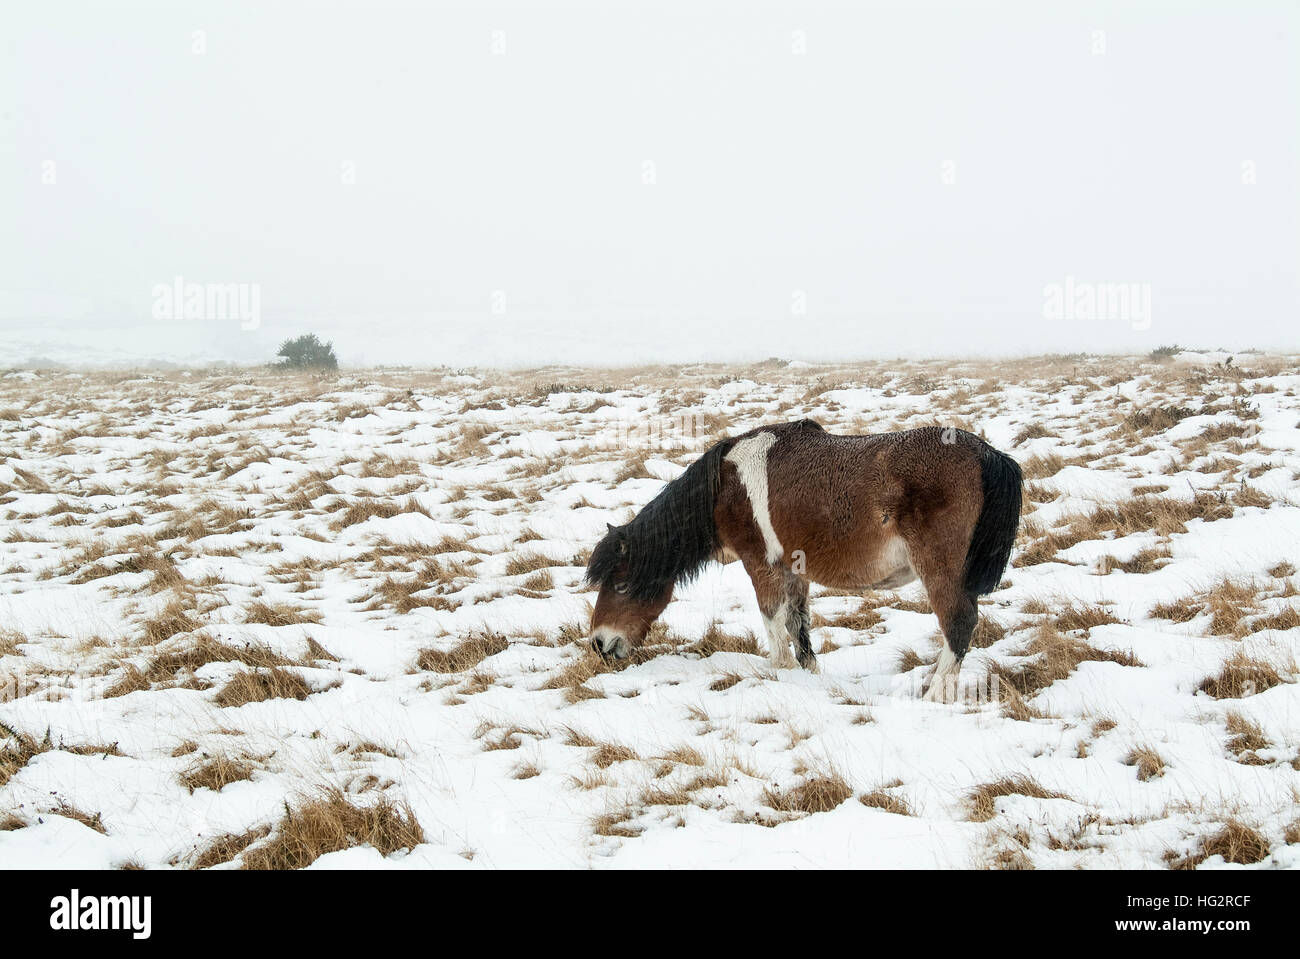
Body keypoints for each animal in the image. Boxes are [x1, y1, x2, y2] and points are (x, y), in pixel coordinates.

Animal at [585, 419, 1022, 701]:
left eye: (621, 585)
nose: (600, 644)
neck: (724, 487)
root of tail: (985, 453)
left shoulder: (761, 565)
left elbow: (773, 623)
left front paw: (781, 674)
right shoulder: (794, 570)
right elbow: (799, 624)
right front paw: (809, 677)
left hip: (940, 573)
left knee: (958, 625)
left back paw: (934, 696)